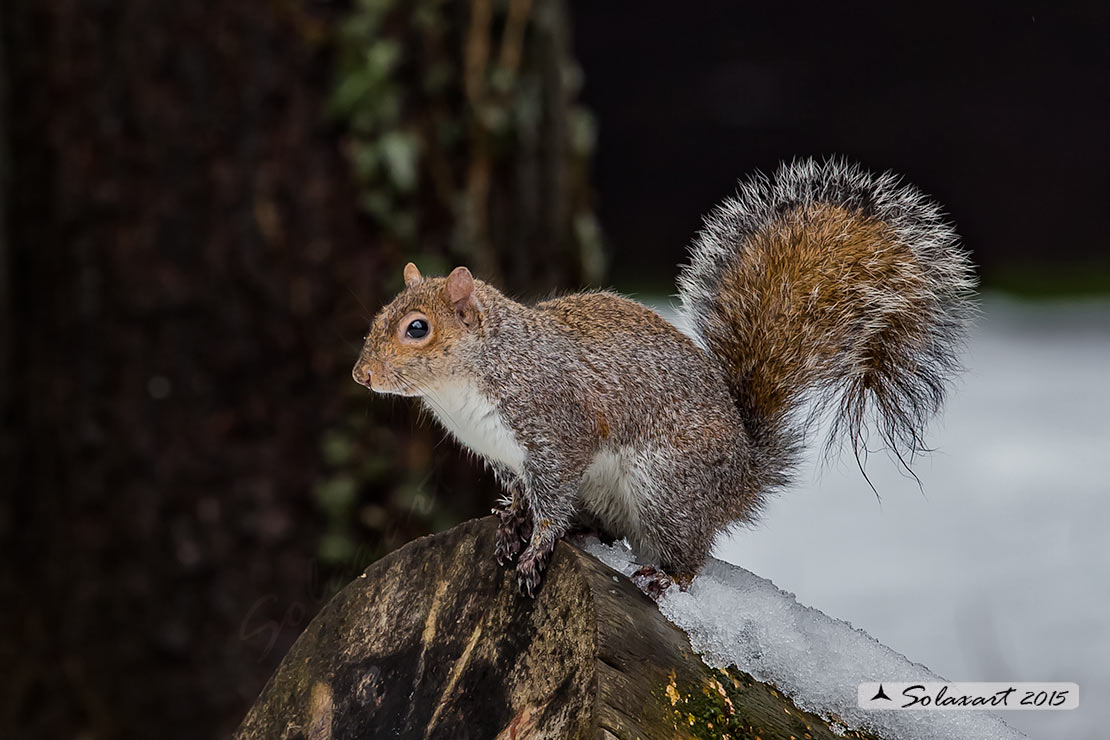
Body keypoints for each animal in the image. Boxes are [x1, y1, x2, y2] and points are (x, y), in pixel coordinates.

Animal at [350, 157, 976, 594]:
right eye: (379, 315)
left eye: (417, 328)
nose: (361, 374)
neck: (470, 381)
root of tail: (742, 478)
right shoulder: (506, 455)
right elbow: (523, 495)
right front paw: (509, 523)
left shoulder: (556, 429)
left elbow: (551, 499)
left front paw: (535, 550)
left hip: (667, 485)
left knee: (689, 553)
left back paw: (667, 576)